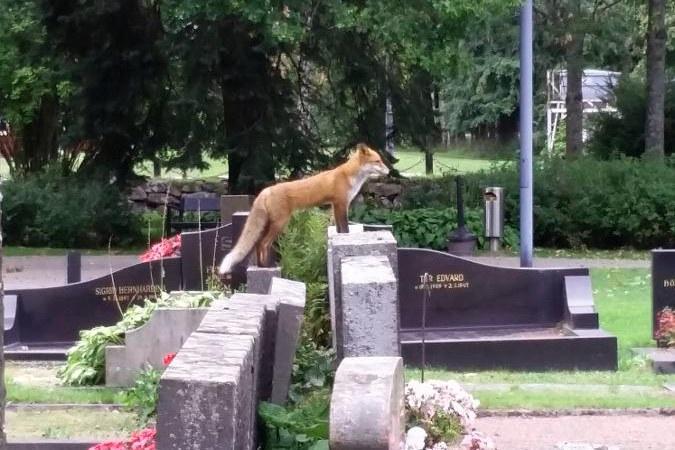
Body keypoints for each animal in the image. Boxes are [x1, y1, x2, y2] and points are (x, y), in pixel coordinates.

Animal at [220, 143, 390, 274]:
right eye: (377, 161)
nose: (388, 172)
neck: (350, 176)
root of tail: (265, 191)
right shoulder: (341, 204)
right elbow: (345, 228)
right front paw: (345, 239)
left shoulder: (336, 206)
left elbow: (339, 229)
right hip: (280, 223)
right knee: (263, 243)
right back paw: (268, 267)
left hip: (269, 223)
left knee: (257, 244)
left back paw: (262, 266)